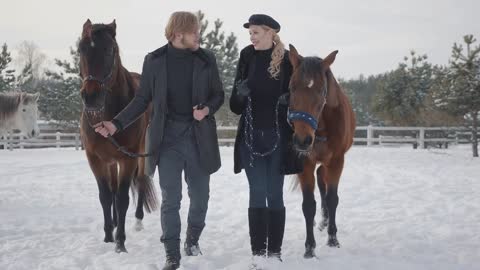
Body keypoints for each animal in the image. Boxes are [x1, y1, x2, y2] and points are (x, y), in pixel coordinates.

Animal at [79, 19, 158, 253]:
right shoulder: (95, 159)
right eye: (81, 50)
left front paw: (120, 243)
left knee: (140, 182)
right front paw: (108, 236)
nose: (91, 97)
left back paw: (138, 222)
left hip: (140, 155)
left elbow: (122, 198)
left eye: (109, 50)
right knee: (113, 190)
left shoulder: (127, 158)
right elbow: (106, 196)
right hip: (111, 161)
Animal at [284, 45, 356, 258]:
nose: (302, 140)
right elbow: (309, 205)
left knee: (323, 181)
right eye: (291, 87)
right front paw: (309, 248)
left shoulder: (337, 161)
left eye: (321, 90)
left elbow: (332, 199)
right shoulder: (305, 162)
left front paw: (333, 240)